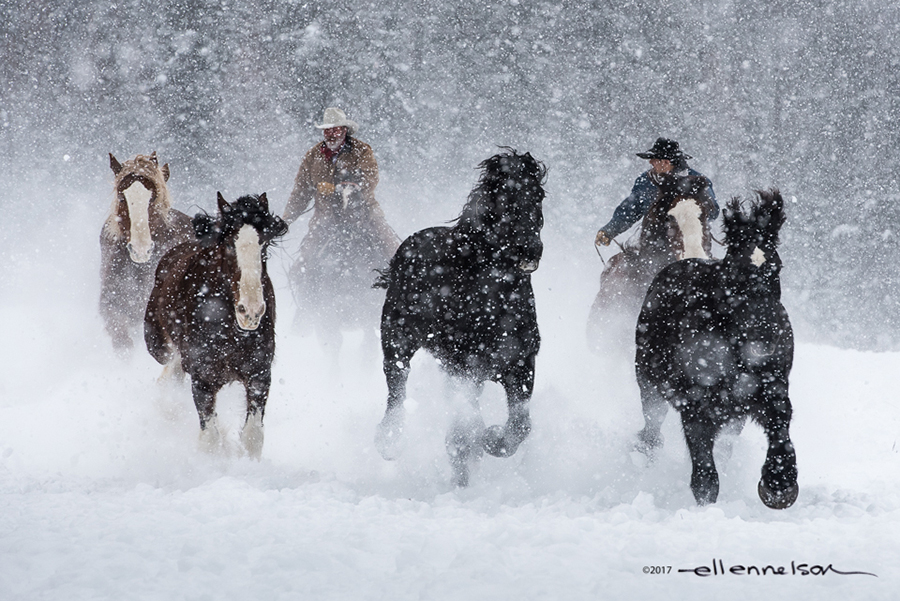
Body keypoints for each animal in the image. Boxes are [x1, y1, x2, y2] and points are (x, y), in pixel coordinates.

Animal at [145, 195, 288, 458]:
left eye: (263, 245)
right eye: (230, 245)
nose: (250, 311)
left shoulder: (259, 374)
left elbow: (253, 436)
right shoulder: (202, 378)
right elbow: (210, 439)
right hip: (158, 346)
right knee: (170, 371)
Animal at [370, 150, 544, 488]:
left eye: (539, 196)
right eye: (505, 195)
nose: (531, 250)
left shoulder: (520, 365)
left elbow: (519, 427)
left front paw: (489, 440)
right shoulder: (466, 367)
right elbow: (467, 425)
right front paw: (475, 447)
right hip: (398, 339)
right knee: (397, 381)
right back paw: (389, 441)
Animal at [632, 190, 796, 508]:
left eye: (776, 267)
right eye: (737, 270)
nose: (764, 339)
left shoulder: (769, 387)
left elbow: (781, 422)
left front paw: (779, 485)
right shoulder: (695, 403)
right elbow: (704, 471)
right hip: (648, 382)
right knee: (653, 425)